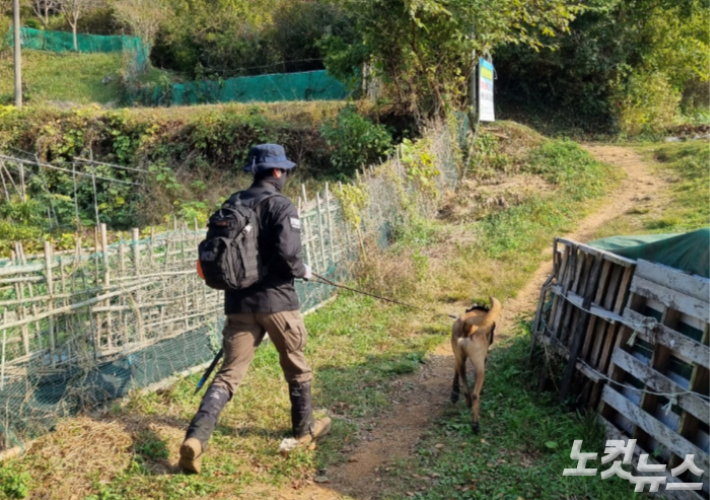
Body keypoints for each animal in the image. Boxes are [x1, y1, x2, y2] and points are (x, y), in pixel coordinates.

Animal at [450, 296, 500, 434]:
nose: (492, 340)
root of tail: (468, 325)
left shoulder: (457, 359)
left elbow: (455, 373)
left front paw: (454, 393)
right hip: (480, 368)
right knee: (475, 395)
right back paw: (475, 424)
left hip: (461, 361)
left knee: (466, 390)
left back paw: (467, 403)